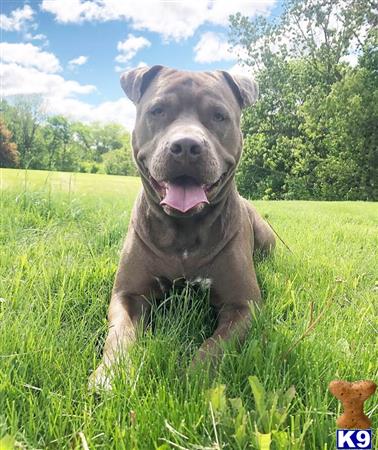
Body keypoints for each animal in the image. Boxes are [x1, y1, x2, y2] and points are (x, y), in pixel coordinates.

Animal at [90, 65, 276, 388]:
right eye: (158, 110)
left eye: (218, 115)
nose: (187, 145)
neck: (184, 230)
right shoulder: (127, 295)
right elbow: (120, 334)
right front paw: (110, 374)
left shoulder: (243, 306)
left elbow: (216, 345)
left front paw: (194, 379)